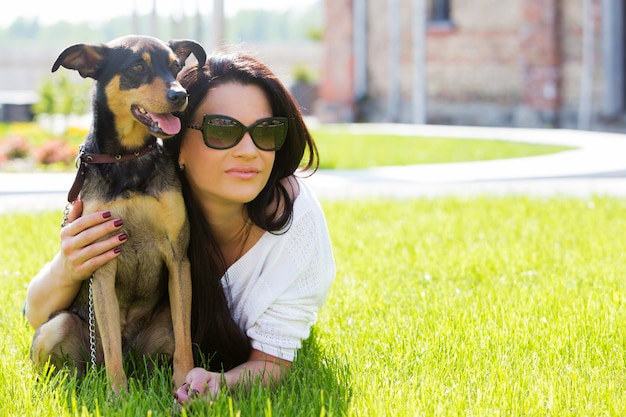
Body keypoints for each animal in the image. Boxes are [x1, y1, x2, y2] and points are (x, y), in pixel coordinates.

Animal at [30, 35, 205, 394]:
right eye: (137, 67)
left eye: (175, 67)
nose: (179, 95)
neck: (128, 158)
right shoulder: (102, 267)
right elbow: (110, 349)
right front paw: (117, 395)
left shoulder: (177, 258)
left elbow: (183, 343)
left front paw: (183, 385)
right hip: (59, 325)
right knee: (73, 365)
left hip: (163, 324)